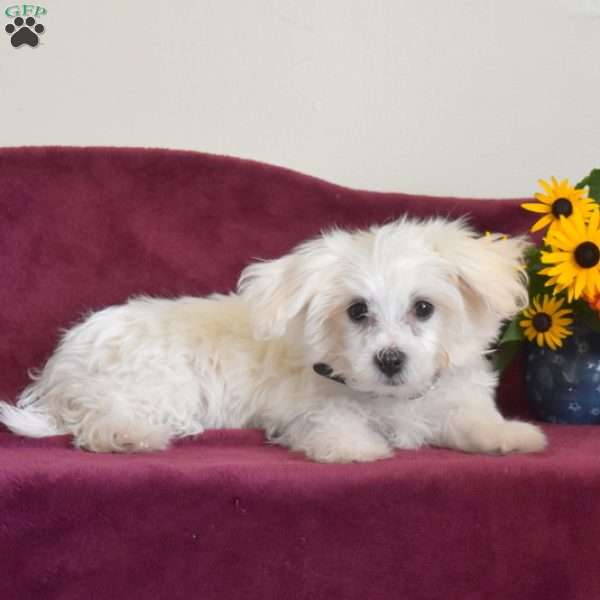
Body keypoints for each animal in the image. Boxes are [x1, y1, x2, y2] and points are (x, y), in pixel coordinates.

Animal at [0, 218, 548, 462]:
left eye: (424, 308)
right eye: (357, 311)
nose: (390, 359)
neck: (390, 399)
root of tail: (62, 366)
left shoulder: (452, 400)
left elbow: (472, 421)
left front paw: (512, 436)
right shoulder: (306, 408)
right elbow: (334, 424)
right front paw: (358, 448)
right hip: (154, 384)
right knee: (100, 417)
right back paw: (127, 435)